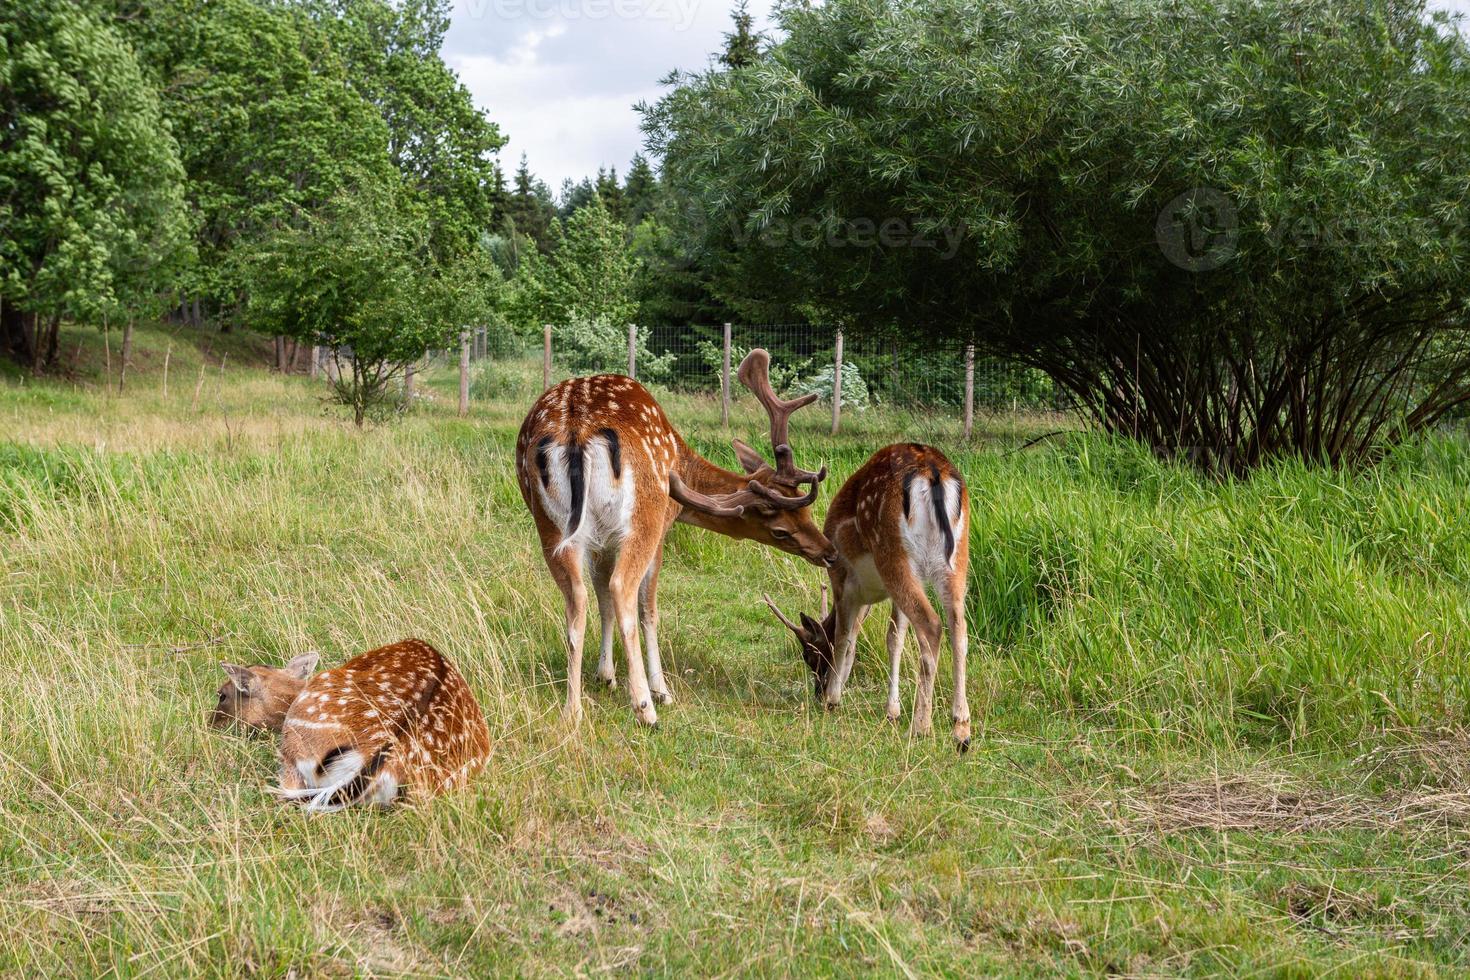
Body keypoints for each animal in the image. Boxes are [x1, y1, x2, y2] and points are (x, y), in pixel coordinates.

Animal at [517, 351, 840, 728]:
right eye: (780, 530)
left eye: (806, 510)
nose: (829, 552)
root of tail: (576, 432)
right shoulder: (661, 528)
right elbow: (647, 609)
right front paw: (660, 691)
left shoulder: (599, 542)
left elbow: (601, 599)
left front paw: (605, 676)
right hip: (644, 516)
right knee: (623, 589)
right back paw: (646, 708)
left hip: (551, 527)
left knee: (577, 599)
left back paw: (573, 710)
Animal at [758, 443, 976, 752]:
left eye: (809, 656)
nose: (817, 692)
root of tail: (933, 472)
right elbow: (894, 638)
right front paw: (891, 711)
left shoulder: (840, 575)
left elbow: (844, 636)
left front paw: (833, 699)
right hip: (956, 558)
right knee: (959, 627)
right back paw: (961, 730)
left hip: (892, 553)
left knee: (932, 625)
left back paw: (921, 727)